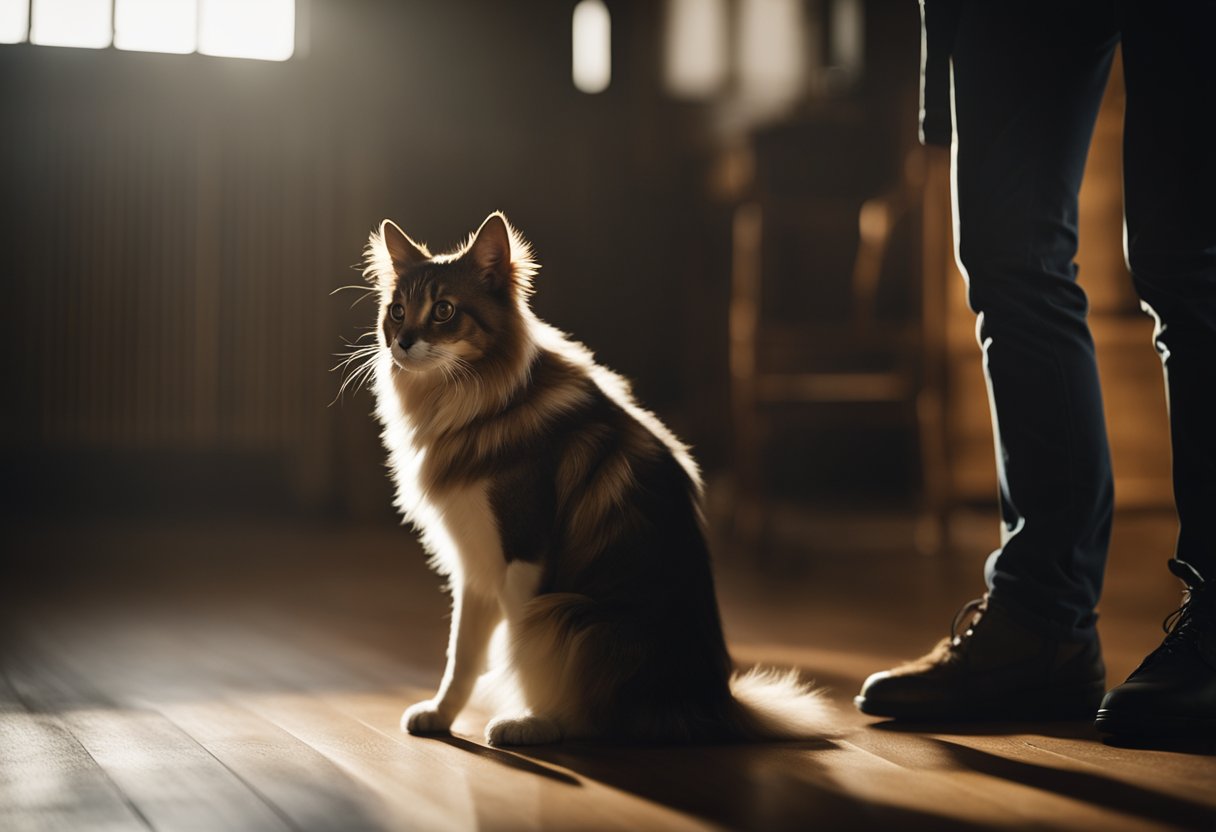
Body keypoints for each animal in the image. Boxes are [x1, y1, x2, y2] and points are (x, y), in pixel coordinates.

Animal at [359, 211, 836, 744]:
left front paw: (526, 717)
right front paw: (441, 715)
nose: (402, 342)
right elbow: (461, 654)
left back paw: (542, 724)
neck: (480, 399)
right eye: (397, 311)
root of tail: (710, 702)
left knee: (591, 708)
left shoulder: (523, 551)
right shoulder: (475, 560)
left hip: (569, 613)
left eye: (444, 310)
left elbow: (516, 650)